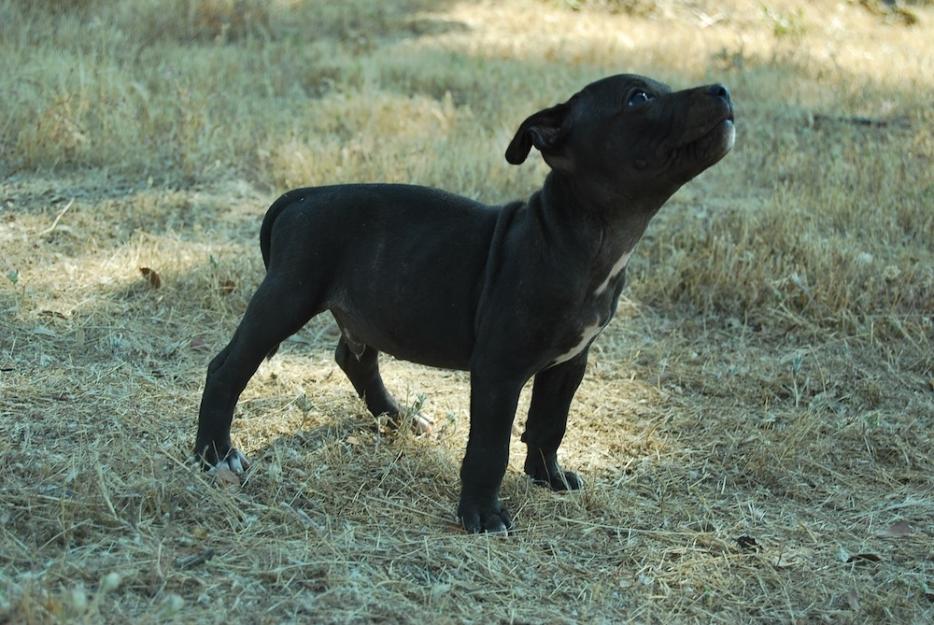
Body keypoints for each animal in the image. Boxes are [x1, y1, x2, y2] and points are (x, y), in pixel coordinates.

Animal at [196, 73, 740, 532]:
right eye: (638, 98)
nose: (722, 89)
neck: (580, 237)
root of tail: (301, 195)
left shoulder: (570, 362)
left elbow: (549, 424)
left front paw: (548, 477)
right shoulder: (500, 369)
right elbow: (489, 447)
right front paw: (482, 514)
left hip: (364, 307)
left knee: (354, 357)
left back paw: (398, 418)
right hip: (288, 296)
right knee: (227, 369)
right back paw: (214, 454)